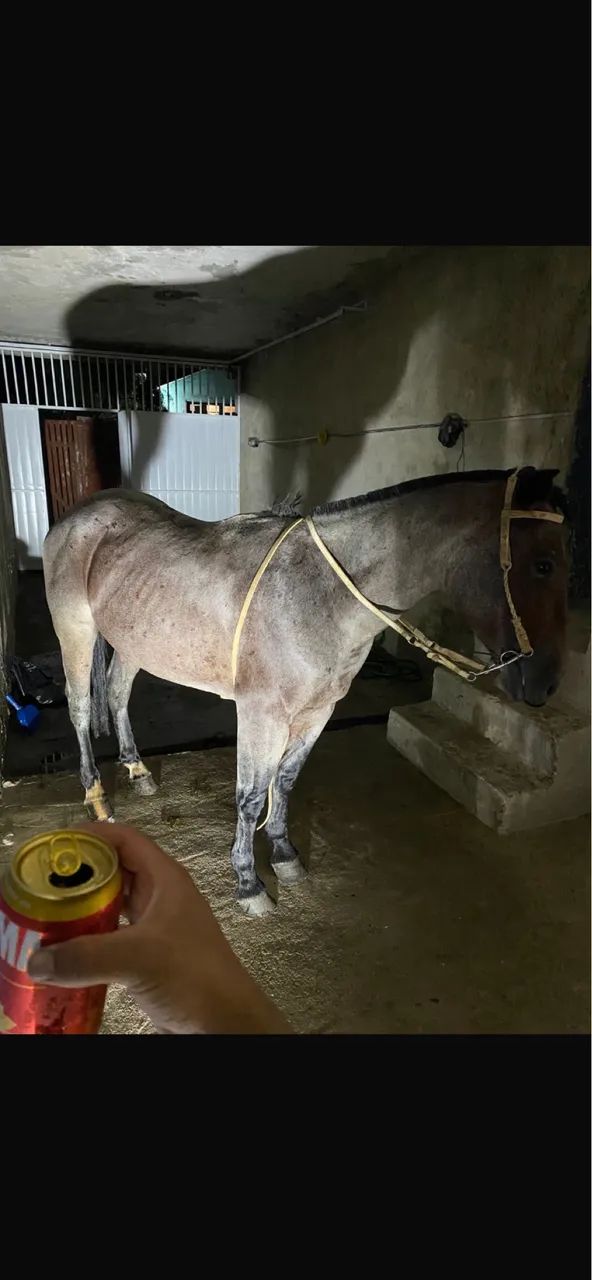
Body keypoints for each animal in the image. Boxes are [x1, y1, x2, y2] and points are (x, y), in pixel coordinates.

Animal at [42, 466, 569, 918]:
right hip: (76, 631)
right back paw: (98, 798)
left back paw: (137, 770)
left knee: (116, 695)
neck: (319, 595)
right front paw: (248, 883)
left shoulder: (318, 711)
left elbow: (287, 781)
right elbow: (251, 796)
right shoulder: (261, 714)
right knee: (81, 708)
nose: (545, 684)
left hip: (135, 642)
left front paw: (284, 855)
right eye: (544, 564)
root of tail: (78, 515)